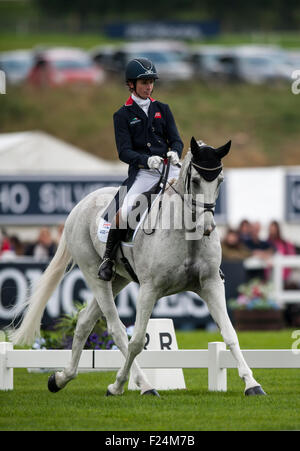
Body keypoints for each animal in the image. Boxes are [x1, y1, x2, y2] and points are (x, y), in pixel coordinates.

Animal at [10, 138, 266, 396]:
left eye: (220, 180)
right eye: (195, 181)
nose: (208, 227)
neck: (186, 233)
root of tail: (81, 204)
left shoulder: (211, 284)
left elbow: (230, 334)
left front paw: (252, 384)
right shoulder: (149, 289)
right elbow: (137, 341)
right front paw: (118, 385)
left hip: (118, 279)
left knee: (84, 321)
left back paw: (61, 378)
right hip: (94, 273)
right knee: (116, 329)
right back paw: (140, 385)